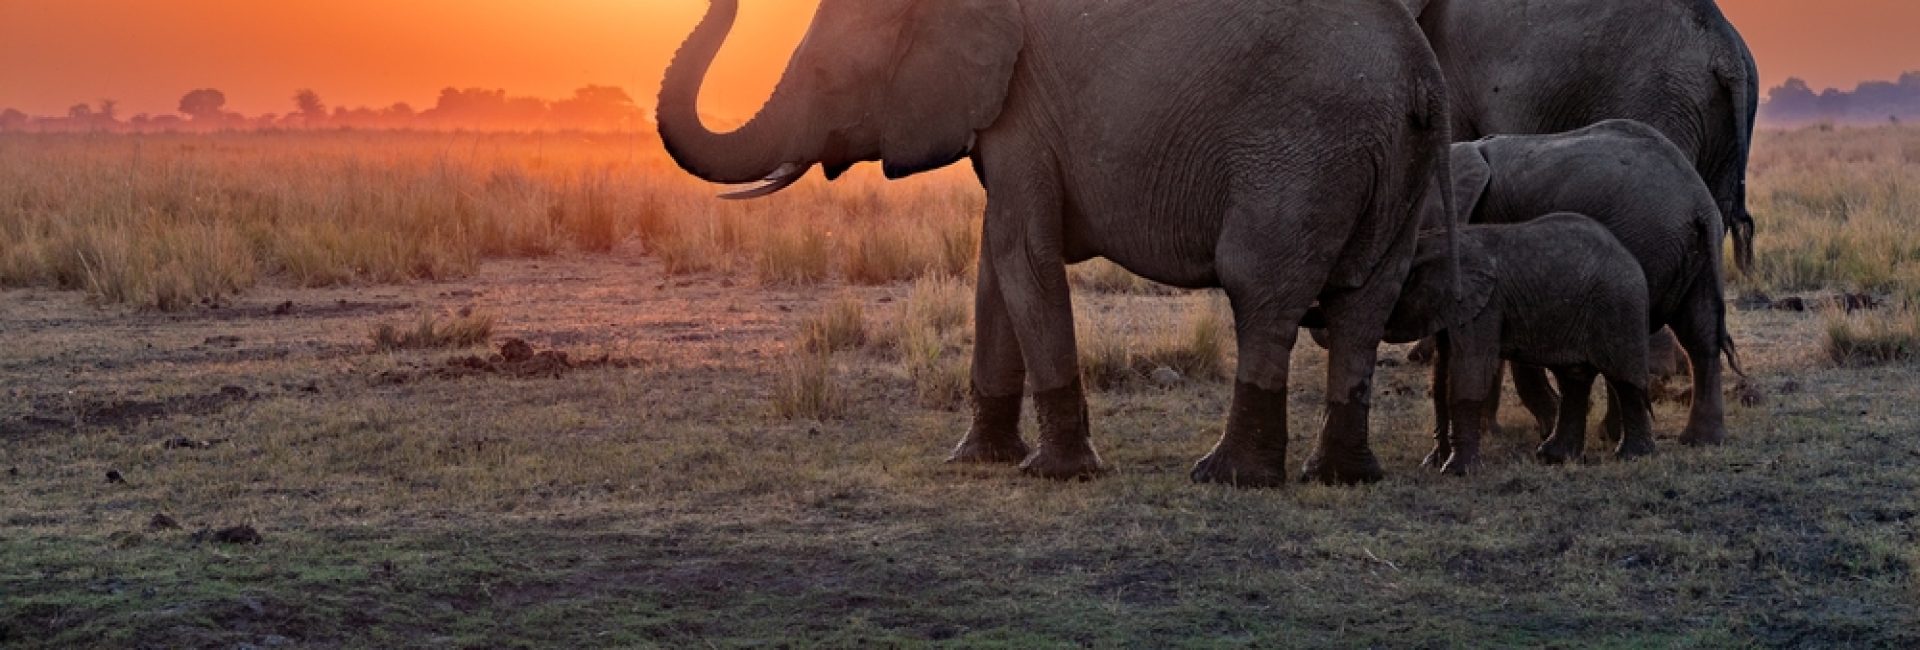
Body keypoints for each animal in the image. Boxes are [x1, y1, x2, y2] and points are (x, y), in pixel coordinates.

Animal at [660, 0, 1451, 487]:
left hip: (1301, 154)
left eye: (827, 76)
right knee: (1363, 305)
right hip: (1391, 166)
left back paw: (1227, 477)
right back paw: (1341, 477)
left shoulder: (1023, 109)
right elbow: (994, 262)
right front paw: (977, 461)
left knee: (1262, 292)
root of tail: (1421, 78)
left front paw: (1055, 473)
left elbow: (1022, 255)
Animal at [1382, 213, 1651, 473]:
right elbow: (1442, 375)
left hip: (1619, 306)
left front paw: (1456, 471)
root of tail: (1627, 254)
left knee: (1623, 377)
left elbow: (1470, 368)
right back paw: (1554, 457)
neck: (1434, 242)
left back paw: (1631, 457)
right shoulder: (1450, 307)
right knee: (1573, 377)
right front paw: (1433, 463)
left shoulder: (1483, 305)